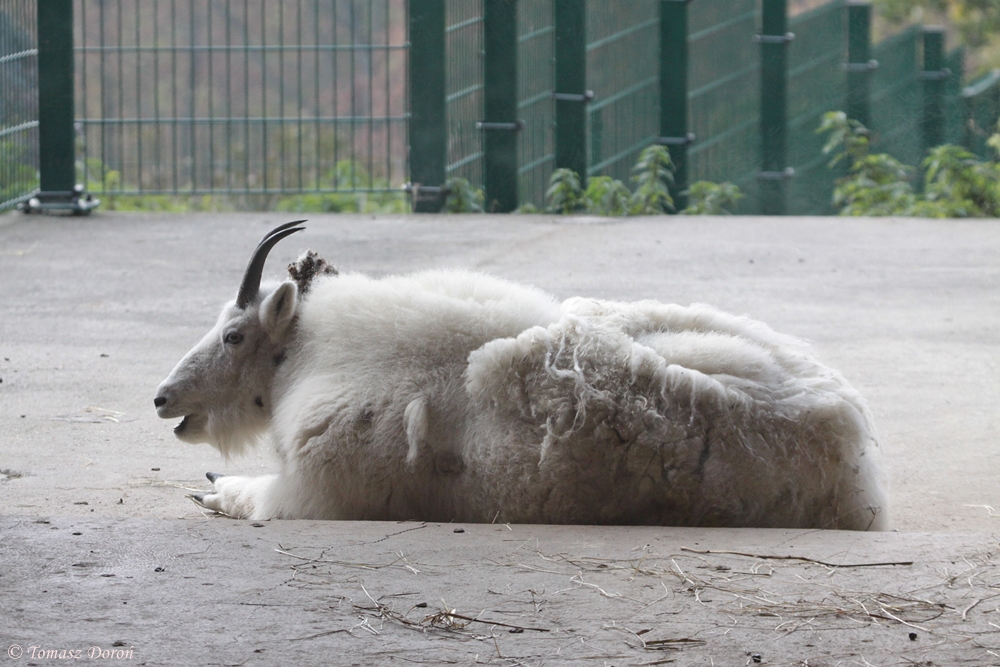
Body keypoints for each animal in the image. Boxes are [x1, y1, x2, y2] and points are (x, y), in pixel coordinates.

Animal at [154, 221, 888, 529]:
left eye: (234, 334)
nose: (163, 399)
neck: (310, 357)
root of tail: (854, 443)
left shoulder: (318, 492)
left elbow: (253, 498)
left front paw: (213, 487)